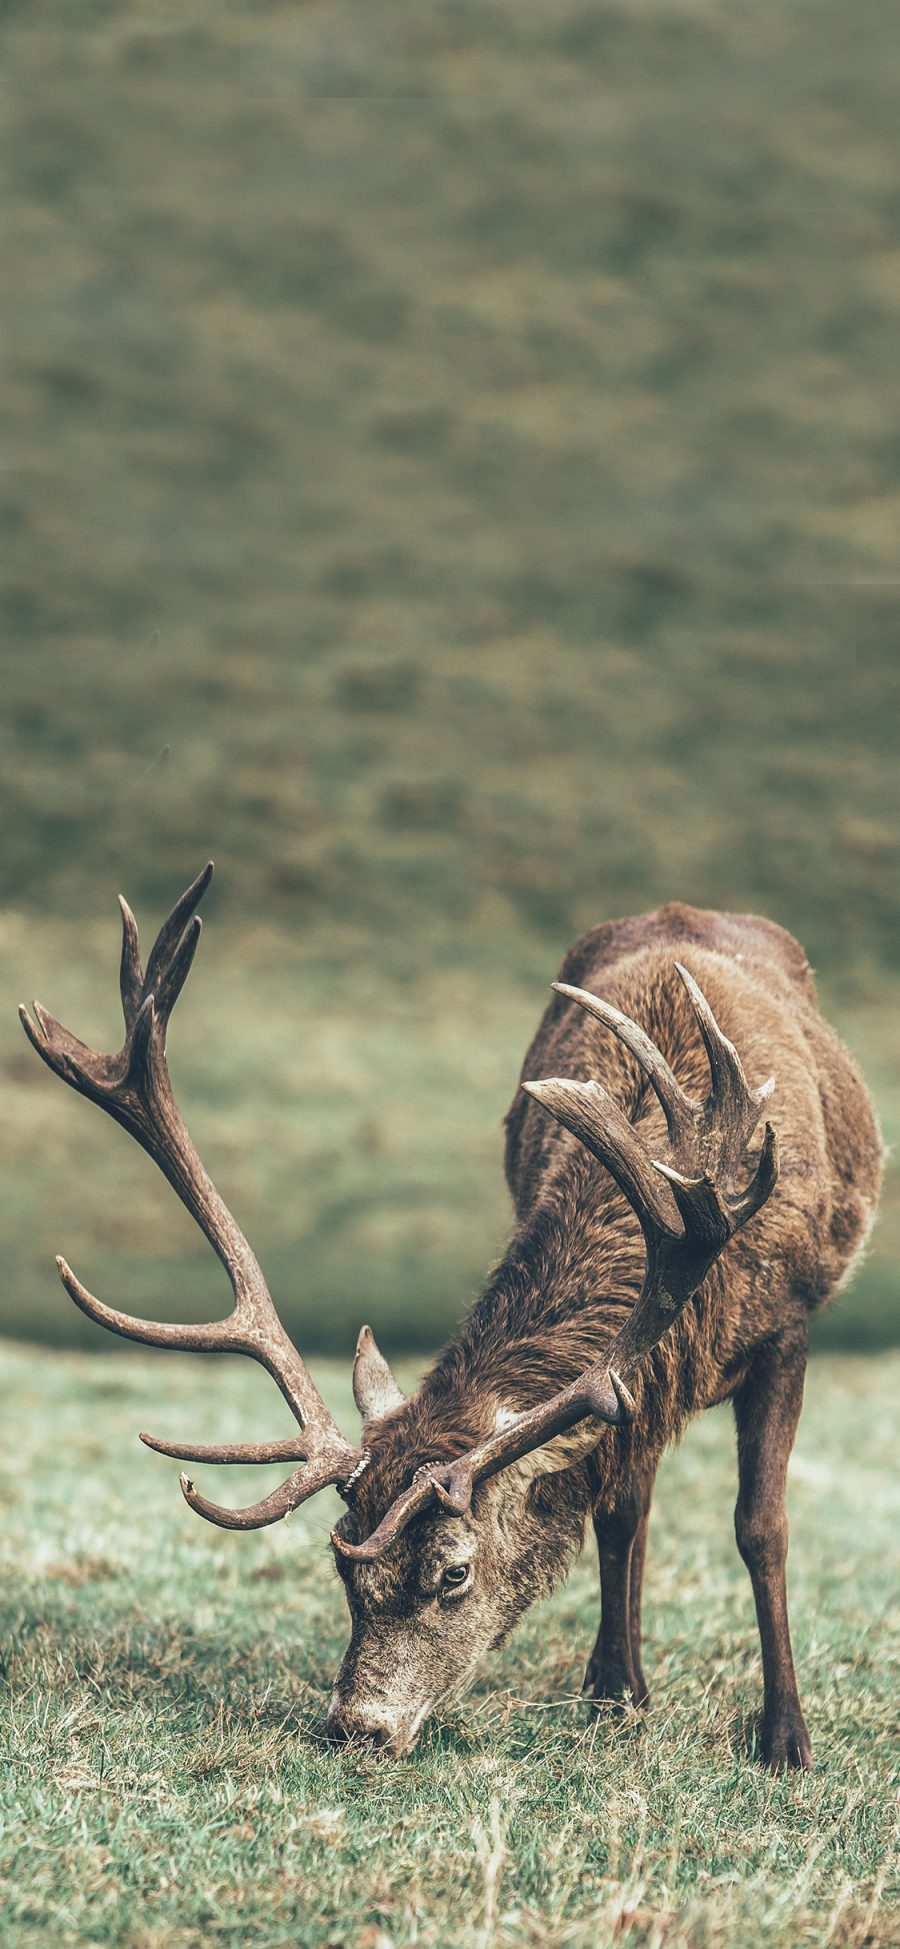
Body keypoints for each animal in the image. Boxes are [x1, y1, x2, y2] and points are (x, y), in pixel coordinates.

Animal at [21, 869, 880, 1769]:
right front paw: (615, 1693)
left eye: (454, 1572)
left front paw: (785, 1736)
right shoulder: (637, 1385)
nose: (355, 1725)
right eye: (344, 1569)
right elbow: (618, 1505)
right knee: (626, 1505)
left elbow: (761, 1525)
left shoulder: (788, 1324)